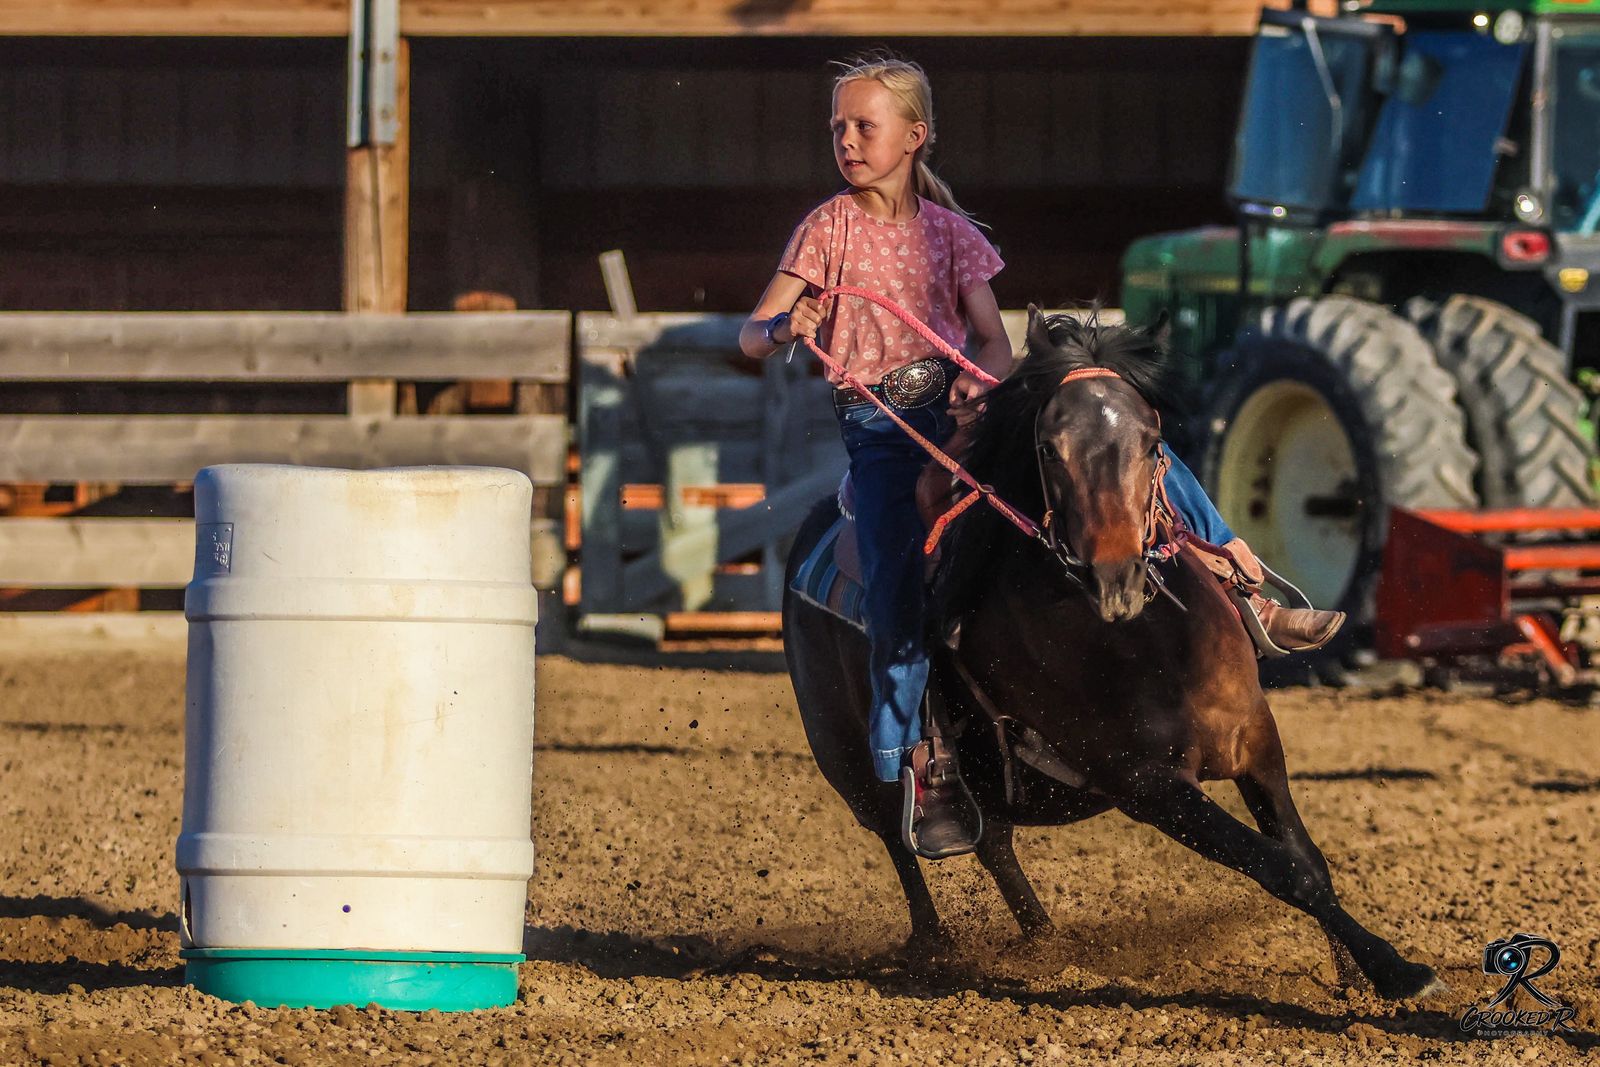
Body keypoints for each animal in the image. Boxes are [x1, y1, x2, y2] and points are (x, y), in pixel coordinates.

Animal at [781, 308, 1442, 1000]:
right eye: (1049, 448)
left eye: (1154, 442)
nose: (1116, 576)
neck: (1153, 648)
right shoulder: (1148, 785)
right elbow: (1283, 868)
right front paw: (1397, 972)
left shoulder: (1256, 741)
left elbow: (1306, 856)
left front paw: (1357, 970)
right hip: (848, 762)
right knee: (898, 839)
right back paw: (936, 947)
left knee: (994, 844)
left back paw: (1045, 940)